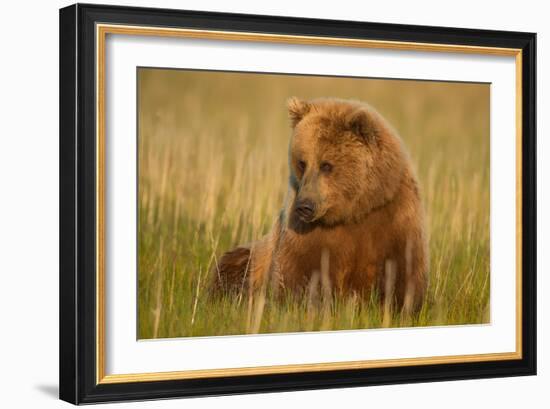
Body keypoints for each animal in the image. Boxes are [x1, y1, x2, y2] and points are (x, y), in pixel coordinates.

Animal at [213, 97, 430, 310]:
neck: (353, 211)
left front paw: (400, 305)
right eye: (302, 162)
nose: (304, 206)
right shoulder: (306, 234)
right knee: (235, 263)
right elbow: (298, 270)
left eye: (326, 165)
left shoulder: (392, 216)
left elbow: (402, 271)